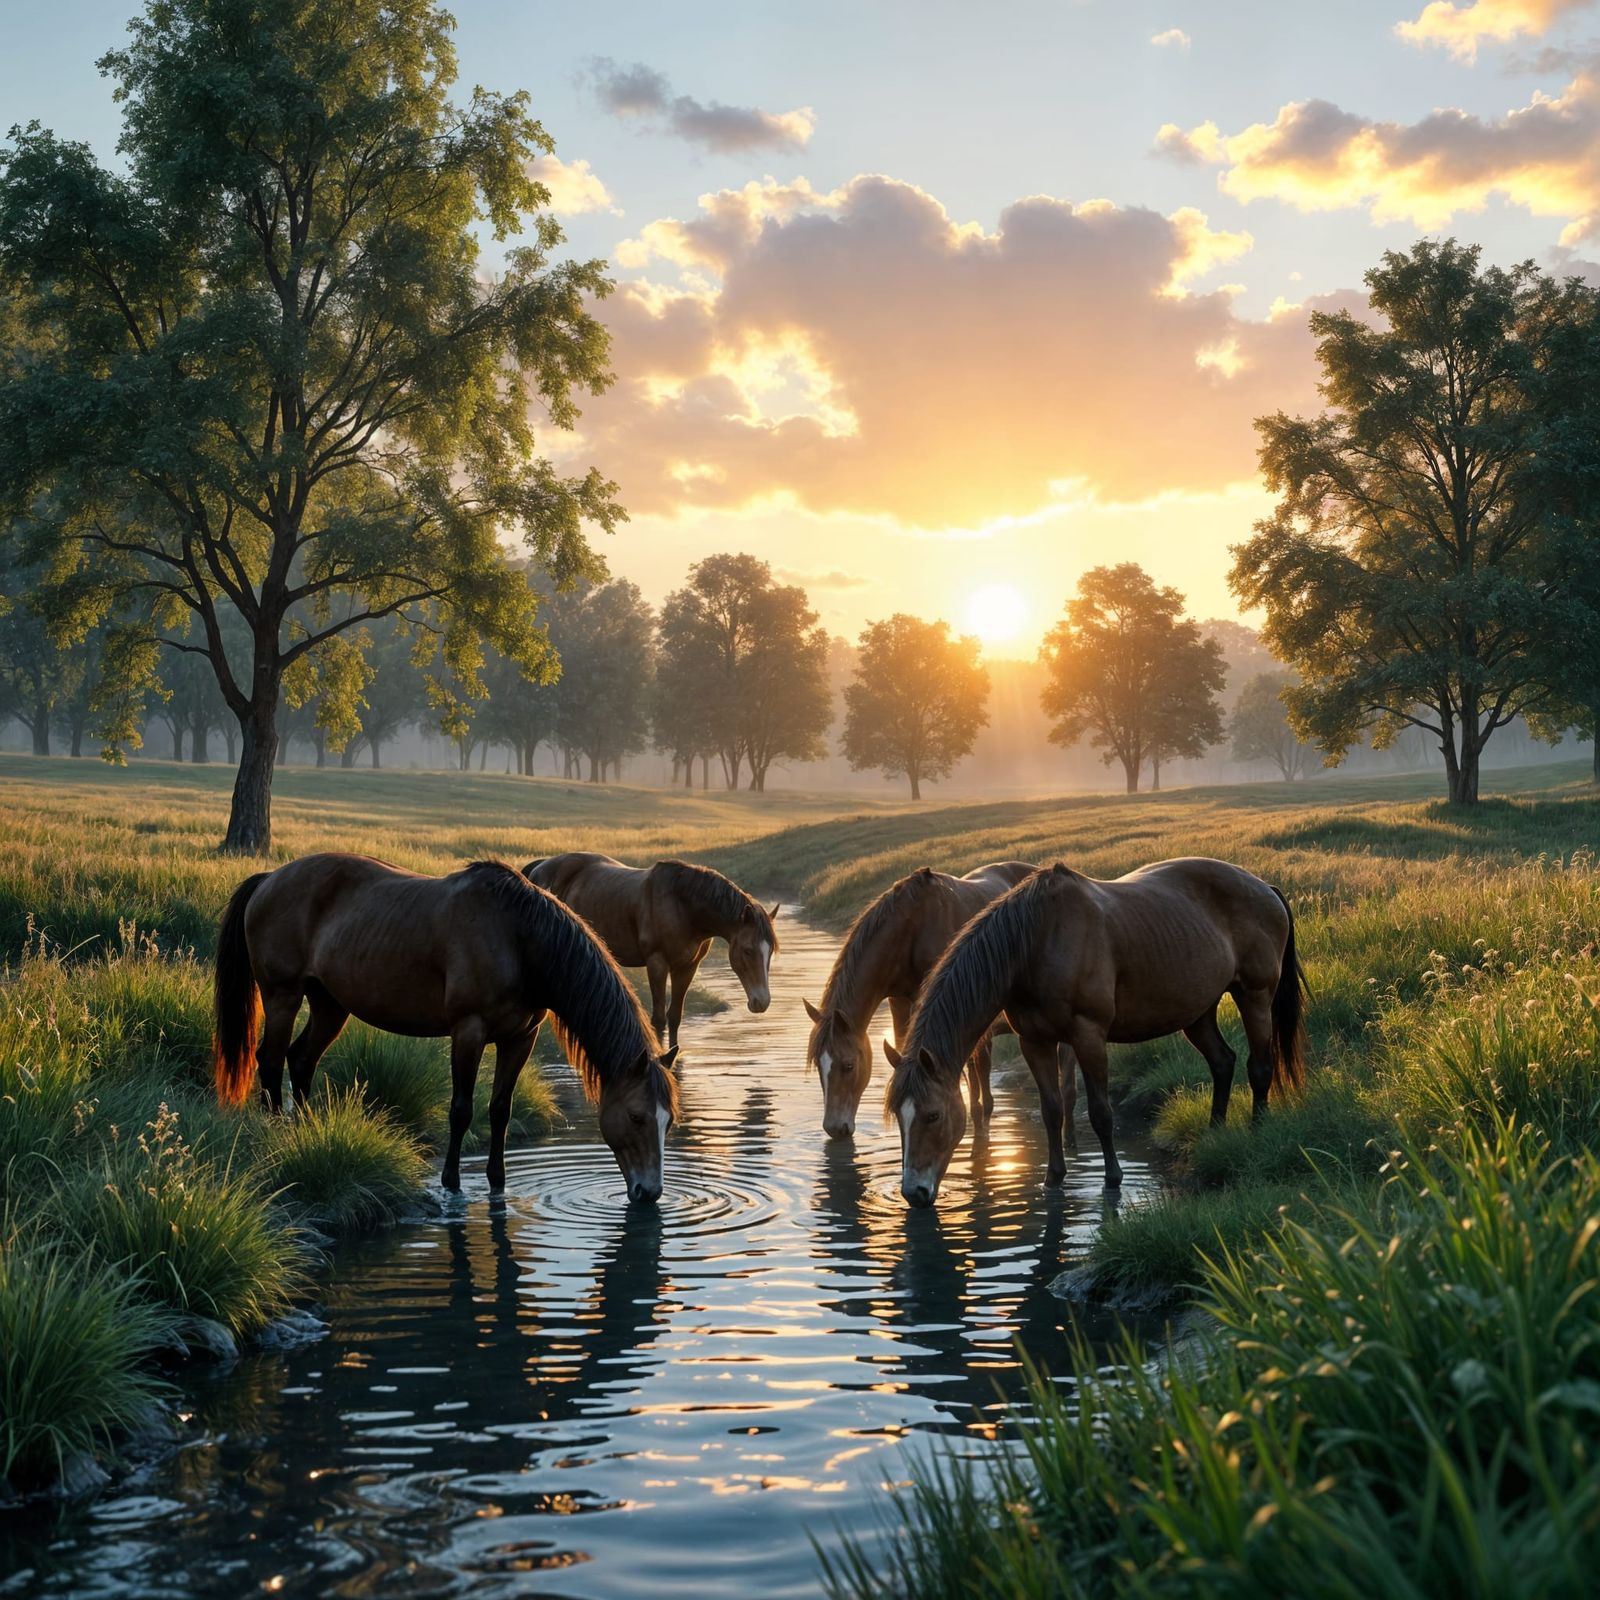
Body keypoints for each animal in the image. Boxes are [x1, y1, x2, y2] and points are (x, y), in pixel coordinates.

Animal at [212, 855, 680, 1202]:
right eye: (636, 1116)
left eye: (669, 1120)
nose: (650, 1192)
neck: (518, 938)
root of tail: (270, 878)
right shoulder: (468, 1032)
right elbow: (462, 1110)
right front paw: (452, 1184)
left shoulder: (520, 1039)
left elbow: (500, 1110)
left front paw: (497, 1183)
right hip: (282, 995)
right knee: (271, 1061)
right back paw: (276, 1138)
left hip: (329, 1004)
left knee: (301, 1060)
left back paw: (305, 1133)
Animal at [523, 853, 779, 1048]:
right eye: (747, 950)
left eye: (770, 953)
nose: (761, 1002)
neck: (684, 907)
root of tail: (540, 867)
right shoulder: (657, 962)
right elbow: (658, 1019)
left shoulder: (687, 967)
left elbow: (675, 1016)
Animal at [885, 859, 1306, 1208]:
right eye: (898, 1116)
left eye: (933, 1115)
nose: (914, 1193)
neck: (1036, 941)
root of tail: (1265, 887)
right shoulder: (1034, 1041)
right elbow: (1051, 1110)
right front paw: (1054, 1179)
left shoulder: (1088, 1035)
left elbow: (1101, 1112)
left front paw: (1112, 1180)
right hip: (1198, 1012)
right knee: (1222, 1062)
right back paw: (1214, 1133)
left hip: (1255, 995)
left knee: (1259, 1067)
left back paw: (1256, 1130)